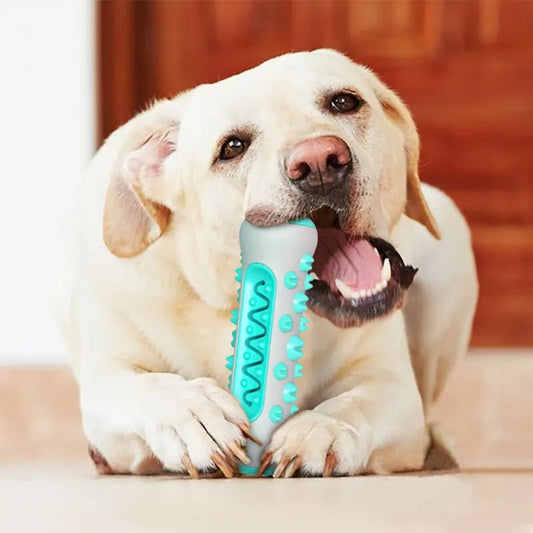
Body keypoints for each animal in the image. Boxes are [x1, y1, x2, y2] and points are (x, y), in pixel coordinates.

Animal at [67, 50, 478, 478]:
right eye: (232, 147)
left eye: (344, 102)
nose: (320, 162)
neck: (224, 302)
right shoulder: (106, 380)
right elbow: (147, 387)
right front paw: (194, 414)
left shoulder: (392, 385)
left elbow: (355, 403)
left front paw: (320, 430)